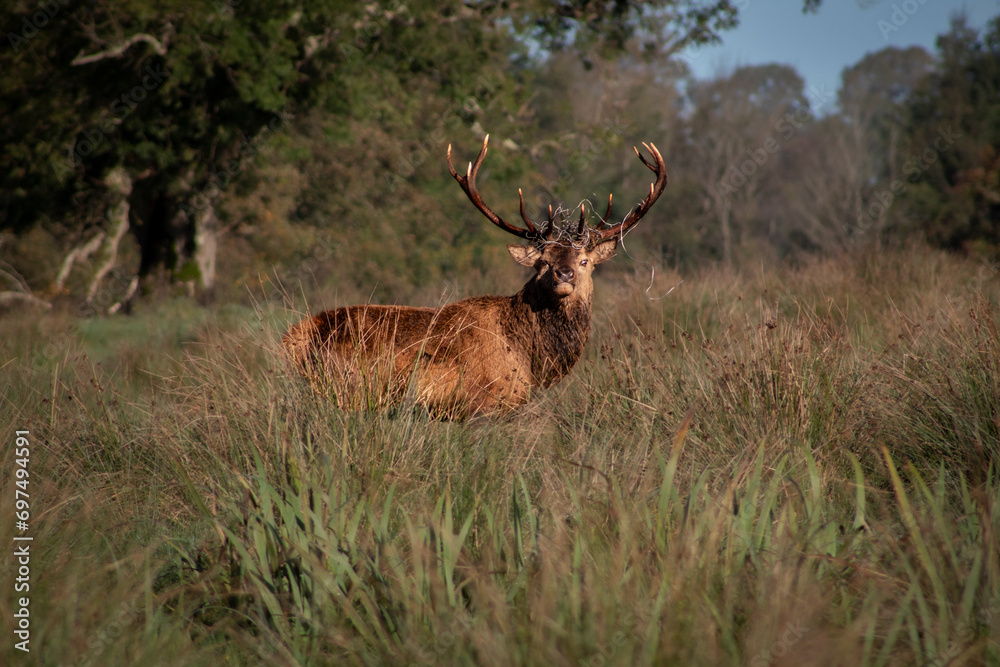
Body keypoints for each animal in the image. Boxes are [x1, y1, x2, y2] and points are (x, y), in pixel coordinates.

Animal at [282, 135, 667, 418]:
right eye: (542, 262)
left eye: (585, 260)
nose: (564, 272)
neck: (530, 358)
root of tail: (293, 338)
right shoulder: (485, 404)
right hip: (348, 390)